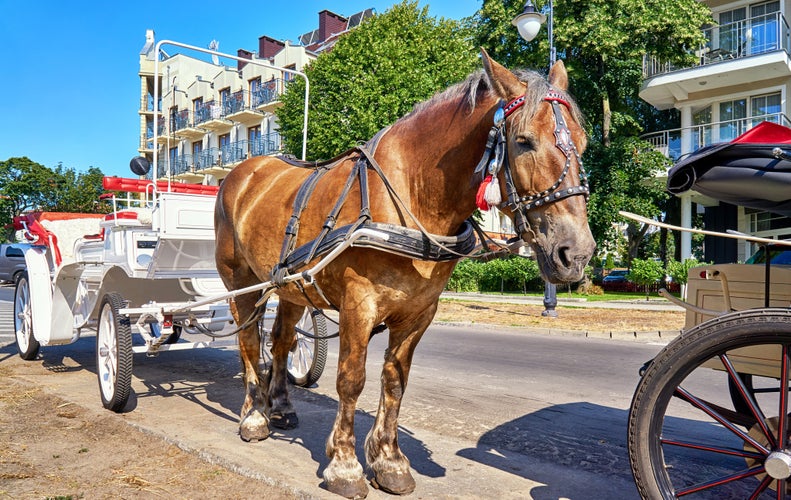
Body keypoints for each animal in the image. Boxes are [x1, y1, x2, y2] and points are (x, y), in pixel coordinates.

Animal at [213, 50, 596, 496]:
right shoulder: (358, 306)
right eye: (524, 142)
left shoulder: (419, 312)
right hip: (240, 281)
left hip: (291, 285)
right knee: (249, 343)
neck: (410, 192)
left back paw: (281, 406)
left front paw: (389, 460)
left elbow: (395, 380)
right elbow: (351, 379)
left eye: (582, 143)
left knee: (280, 340)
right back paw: (254, 415)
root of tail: (243, 173)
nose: (577, 252)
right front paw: (345, 466)